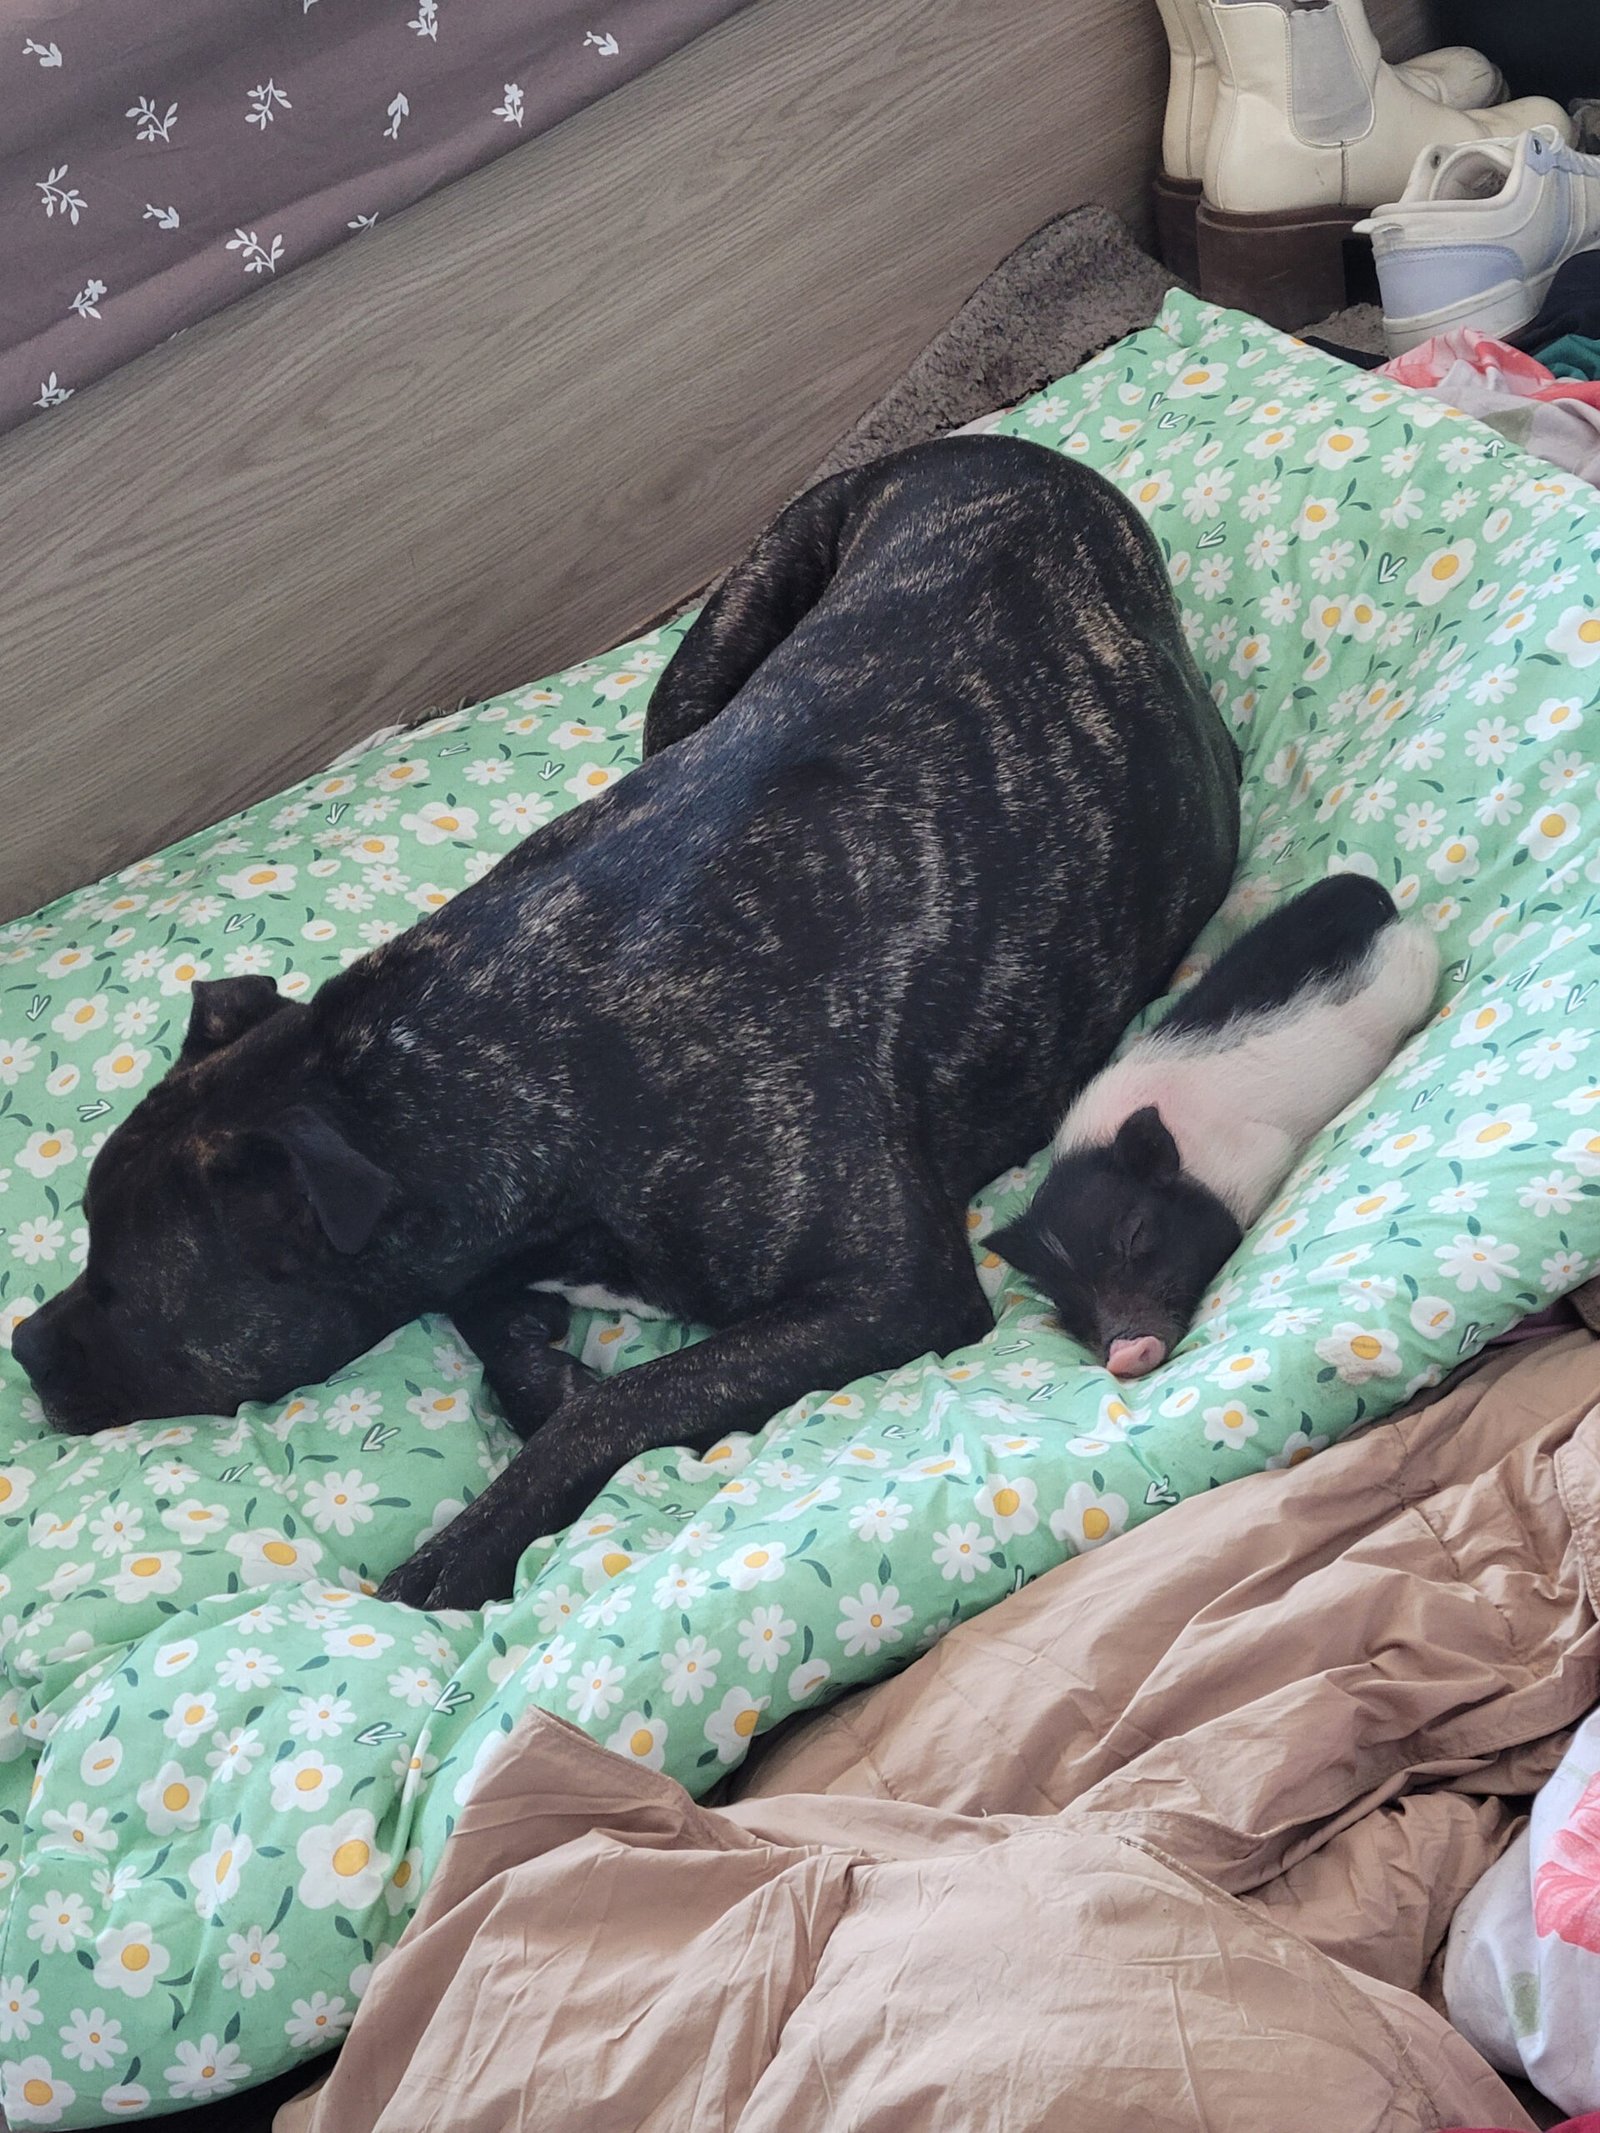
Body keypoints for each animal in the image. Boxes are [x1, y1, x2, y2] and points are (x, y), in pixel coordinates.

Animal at [14, 437, 1240, 1608]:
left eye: (122, 1287)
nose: (22, 1345)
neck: (476, 1053)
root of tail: (1013, 450)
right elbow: (507, 1338)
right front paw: (539, 1378)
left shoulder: (892, 1288)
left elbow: (628, 1400)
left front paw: (473, 1537)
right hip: (697, 679)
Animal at [989, 875, 1441, 1380]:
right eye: (1062, 1297)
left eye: (1135, 1233)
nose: (1123, 1354)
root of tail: (1357, 889)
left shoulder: (1261, 1154)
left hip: (1412, 965)